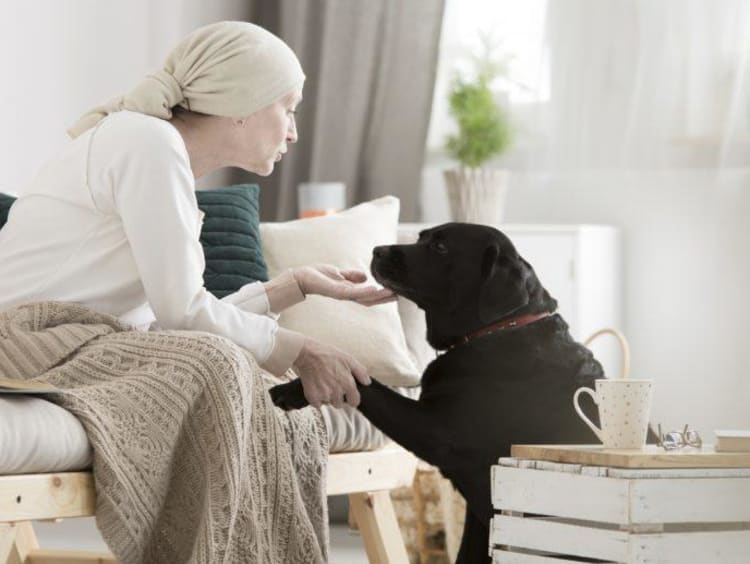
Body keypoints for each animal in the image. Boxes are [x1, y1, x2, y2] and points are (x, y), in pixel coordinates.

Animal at [270, 223, 604, 560]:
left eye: (441, 247)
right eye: (421, 238)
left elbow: (364, 381)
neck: (497, 329)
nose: (377, 250)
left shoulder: (433, 431)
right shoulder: (481, 518)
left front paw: (294, 387)